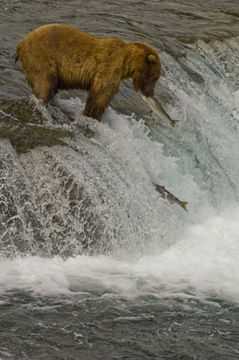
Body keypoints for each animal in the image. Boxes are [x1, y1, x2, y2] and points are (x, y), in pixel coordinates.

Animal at [14, 25, 162, 122]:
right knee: (44, 83)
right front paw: (92, 116)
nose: (150, 93)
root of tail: (20, 44)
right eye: (155, 77)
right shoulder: (109, 66)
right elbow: (100, 94)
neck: (126, 62)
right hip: (41, 57)